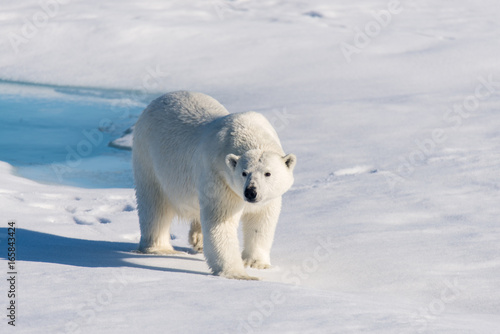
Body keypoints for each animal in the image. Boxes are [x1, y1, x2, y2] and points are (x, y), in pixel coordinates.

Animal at [133, 90, 296, 280]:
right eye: (244, 173)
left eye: (268, 173)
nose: (251, 192)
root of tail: (156, 101)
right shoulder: (220, 178)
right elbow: (221, 221)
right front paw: (239, 274)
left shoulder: (267, 197)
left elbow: (261, 219)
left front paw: (256, 263)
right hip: (148, 157)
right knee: (155, 204)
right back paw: (161, 249)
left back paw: (198, 240)